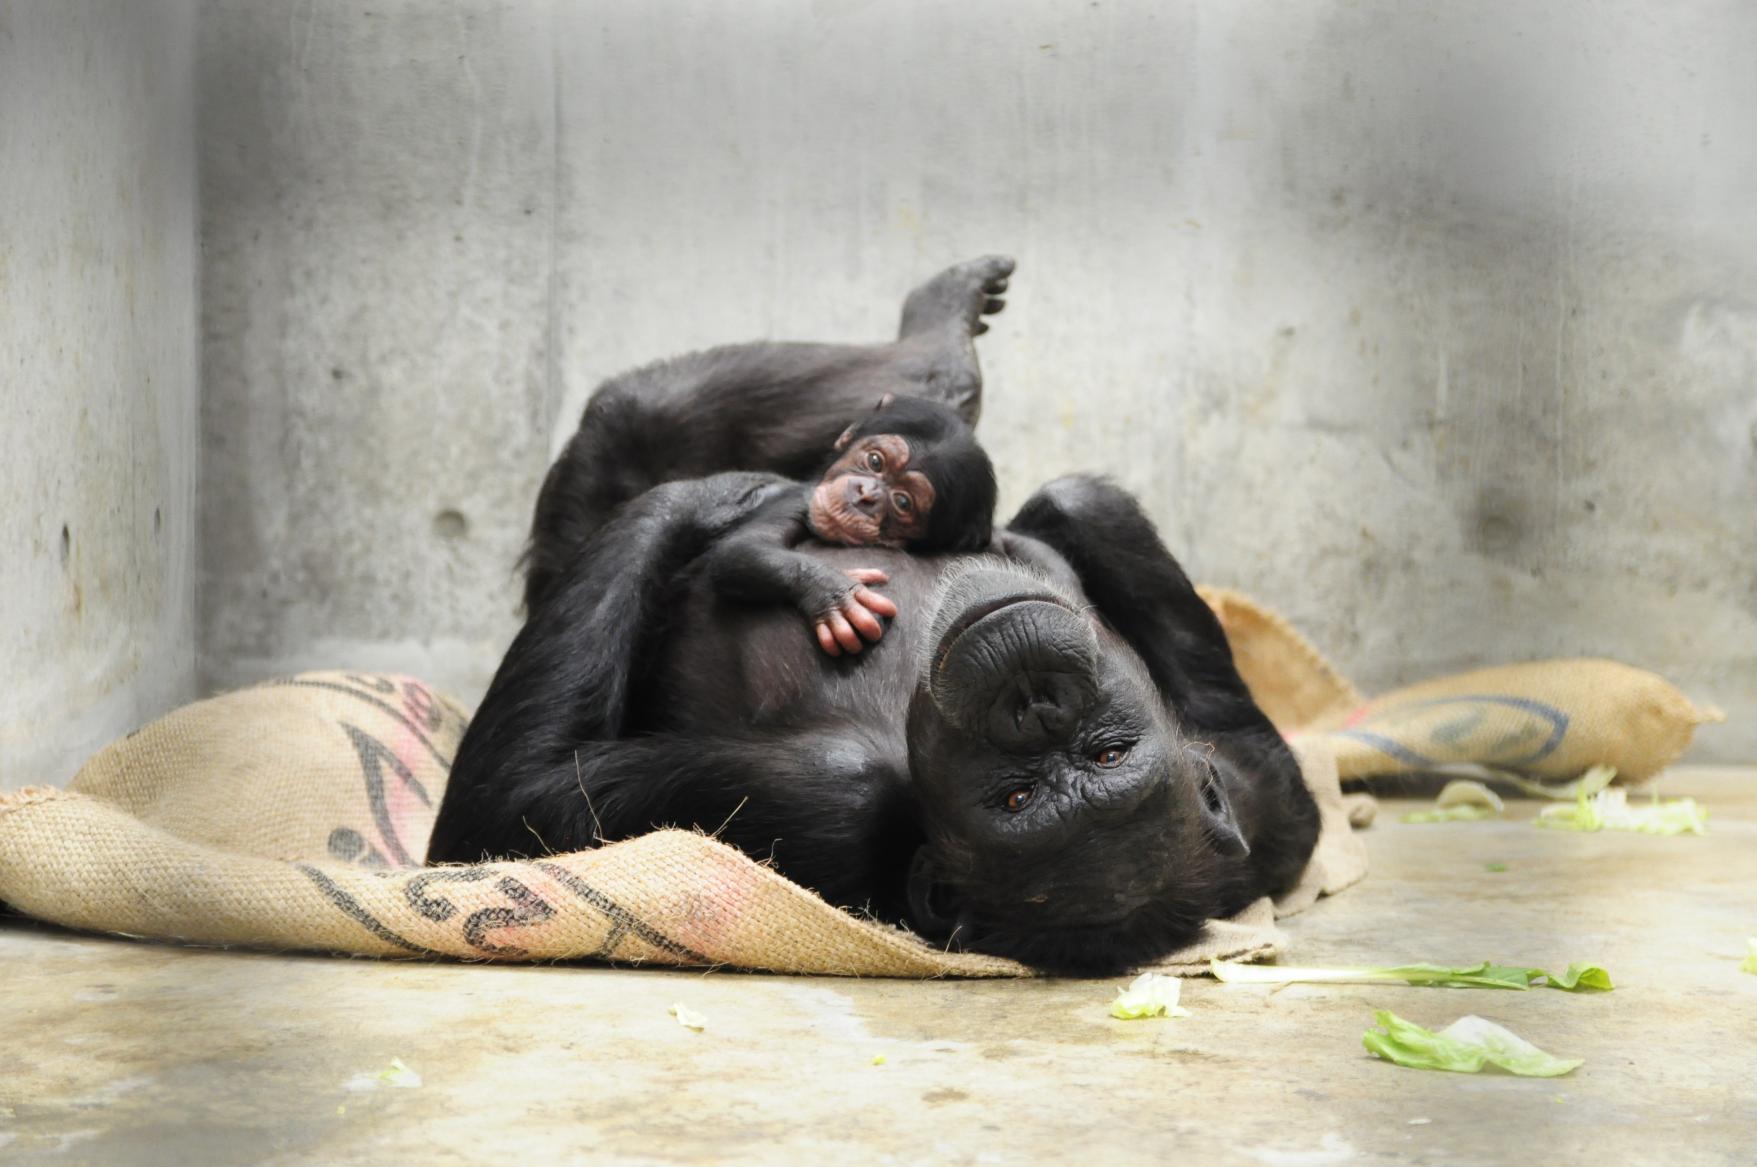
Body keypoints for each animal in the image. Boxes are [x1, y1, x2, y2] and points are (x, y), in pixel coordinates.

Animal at [428, 258, 1321, 977]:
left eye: (1016, 800)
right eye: (1108, 751)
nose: (1034, 702)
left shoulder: (828, 800)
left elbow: (509, 807)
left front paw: (723, 503)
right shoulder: (1256, 799)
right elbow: (1274, 778)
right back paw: (942, 332)